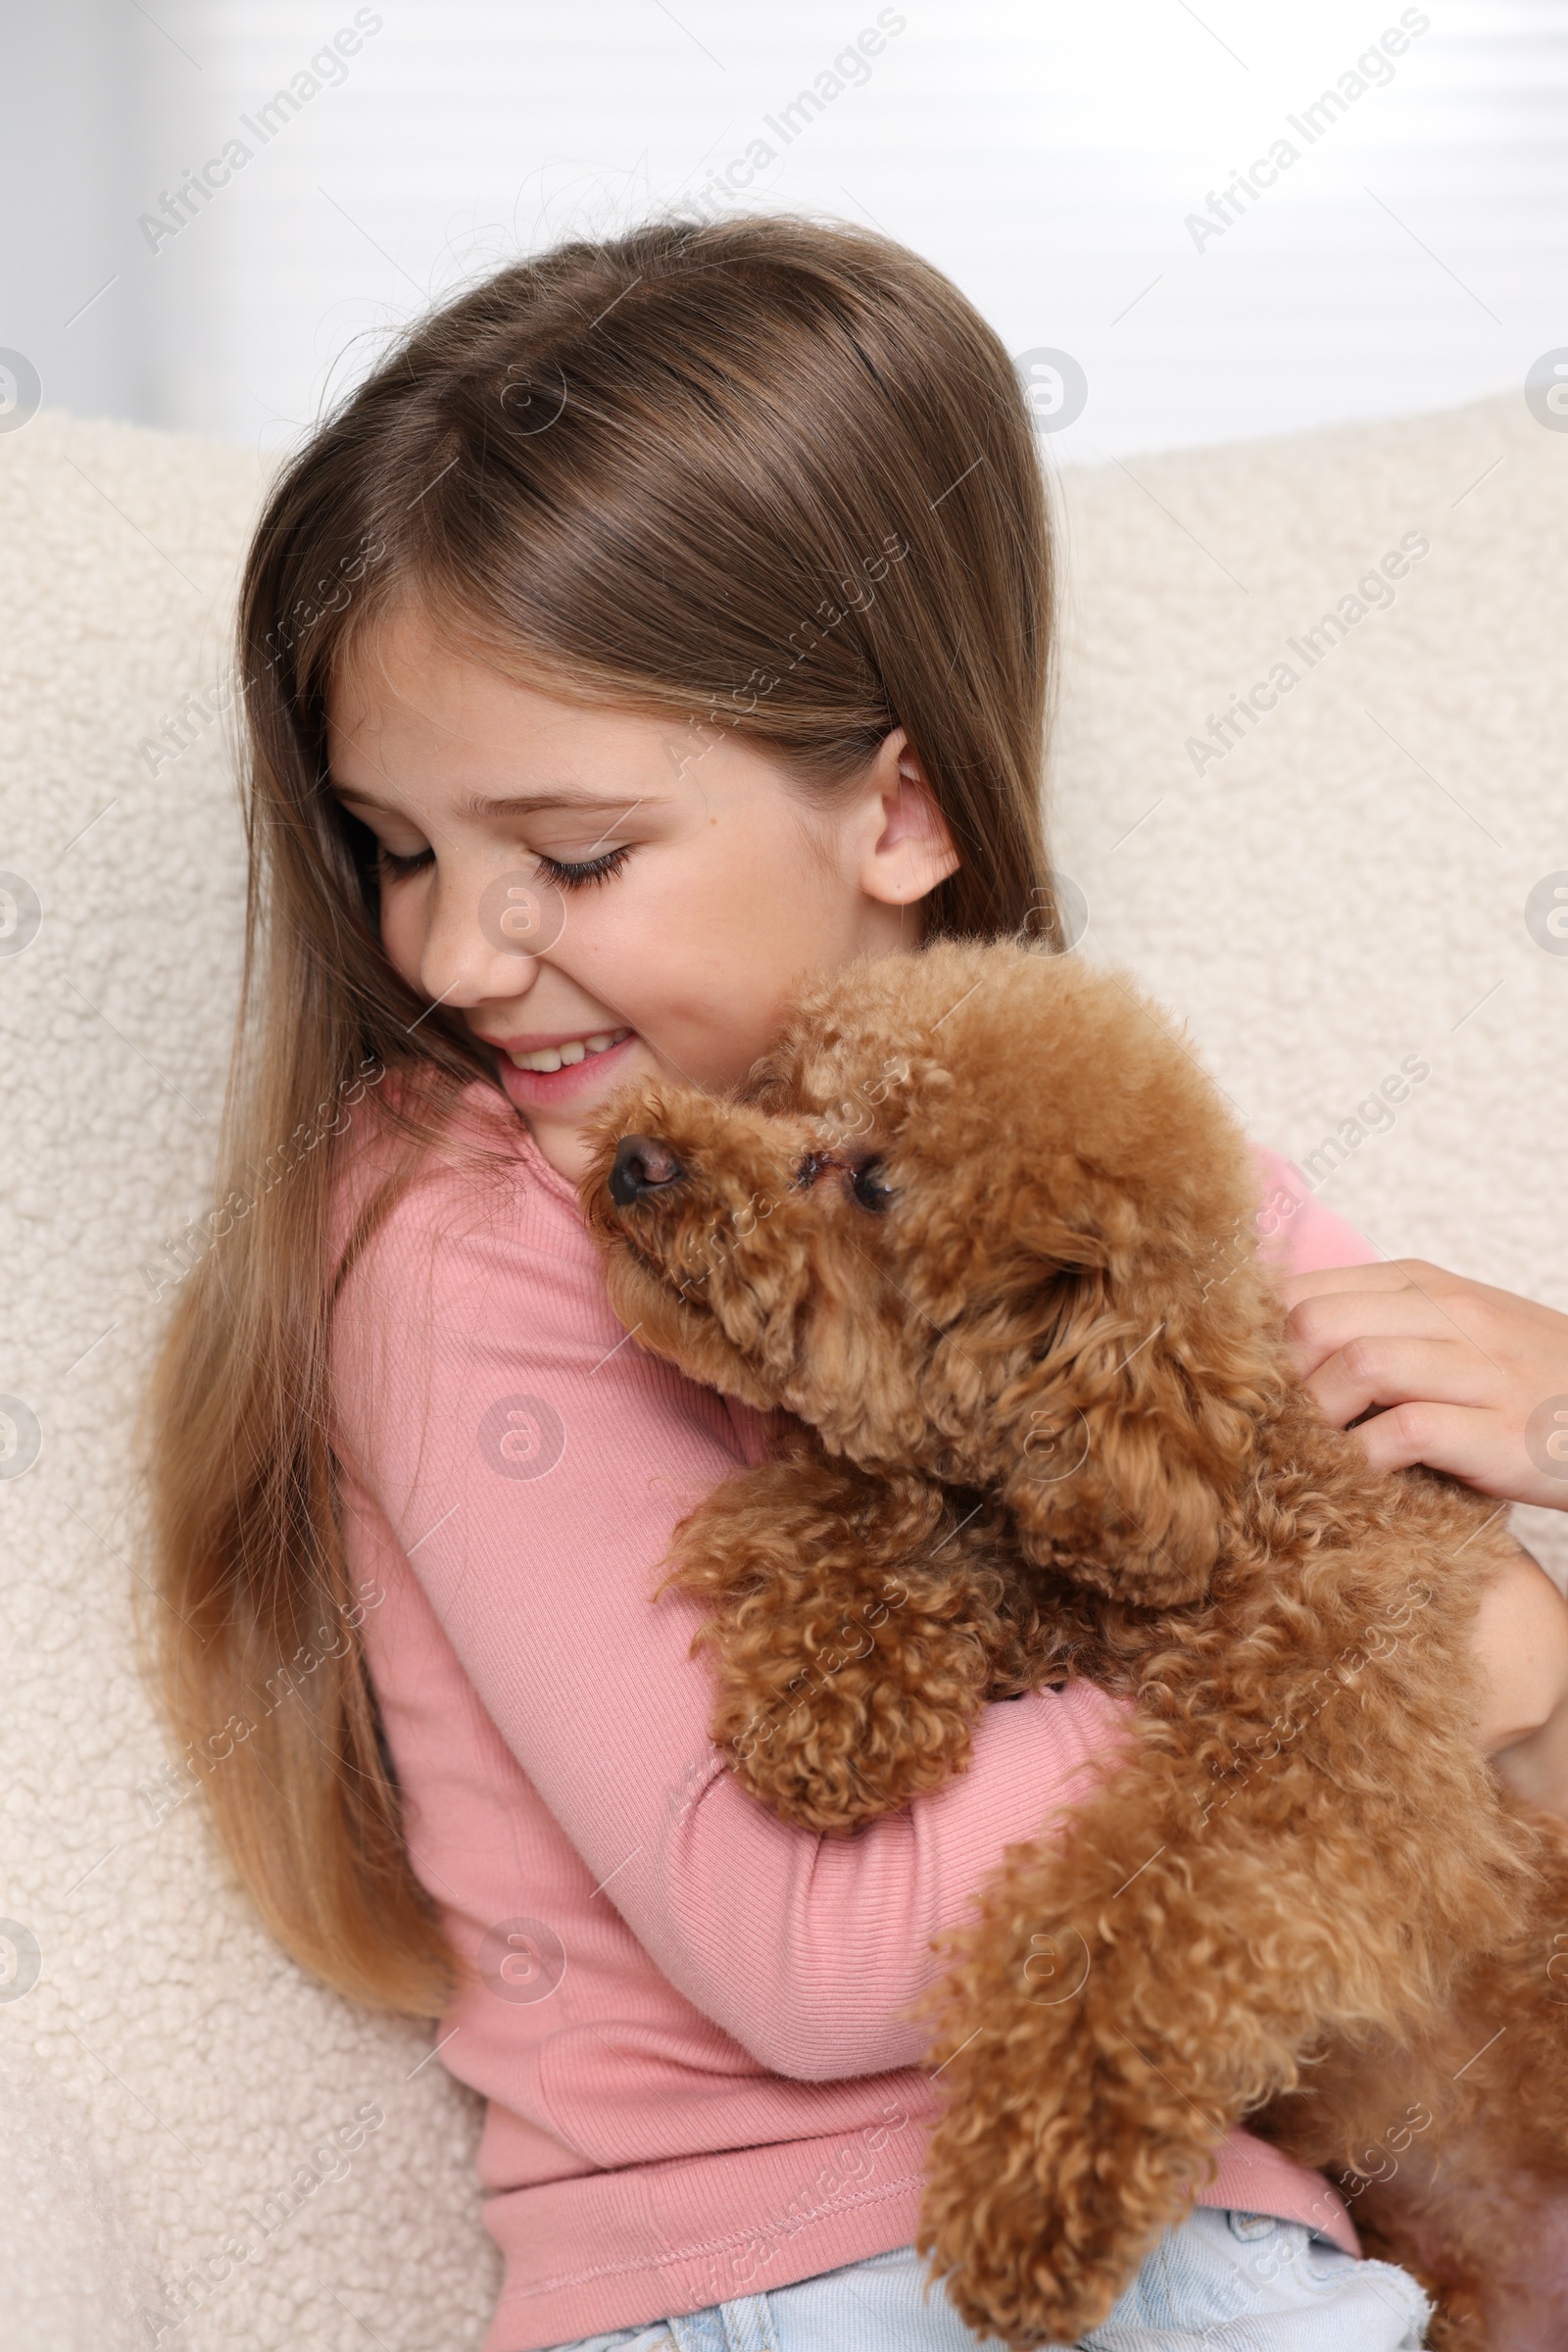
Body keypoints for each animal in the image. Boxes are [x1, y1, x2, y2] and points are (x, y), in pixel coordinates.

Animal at [580, 941, 1568, 2352]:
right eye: (777, 1094)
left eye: (872, 1178)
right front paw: (833, 1691)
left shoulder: (1314, 1748)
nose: (638, 1156)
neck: (1220, 1477)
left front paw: (1036, 2199)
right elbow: (882, 1519)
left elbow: (1129, 1935)